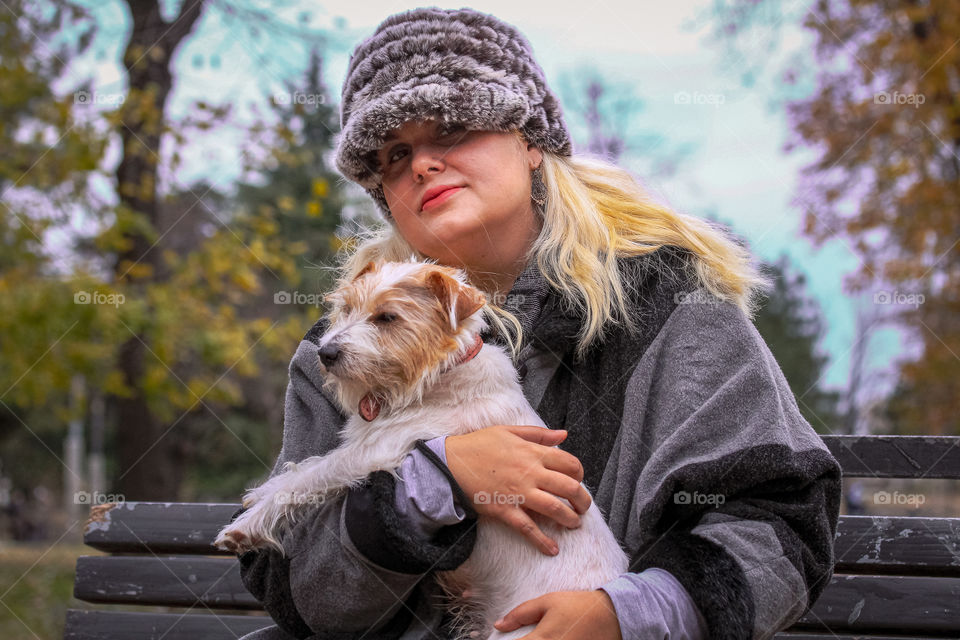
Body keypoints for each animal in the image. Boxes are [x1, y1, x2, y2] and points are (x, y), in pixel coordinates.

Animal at [214, 260, 628, 640]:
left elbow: (309, 479)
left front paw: (246, 527)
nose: (326, 353)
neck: (437, 376)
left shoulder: (374, 452)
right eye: (346, 308)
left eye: (387, 317)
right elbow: (304, 467)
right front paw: (258, 496)